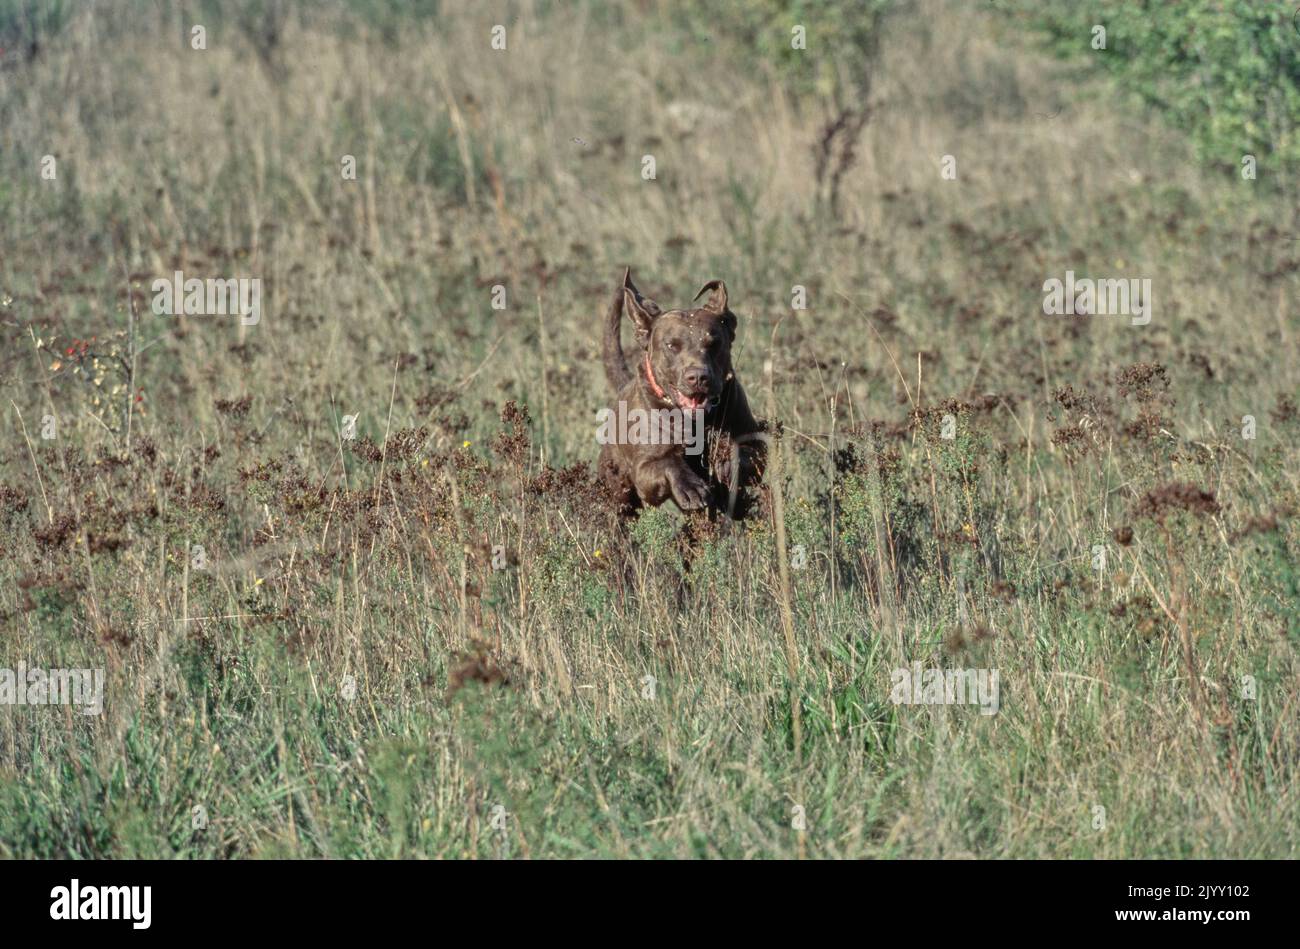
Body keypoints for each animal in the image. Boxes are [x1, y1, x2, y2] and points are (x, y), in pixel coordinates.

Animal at [595, 270, 764, 514]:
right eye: (671, 345)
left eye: (714, 343)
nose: (698, 377)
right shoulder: (644, 471)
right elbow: (668, 462)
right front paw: (690, 487)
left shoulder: (757, 446)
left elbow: (744, 450)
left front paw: (726, 463)